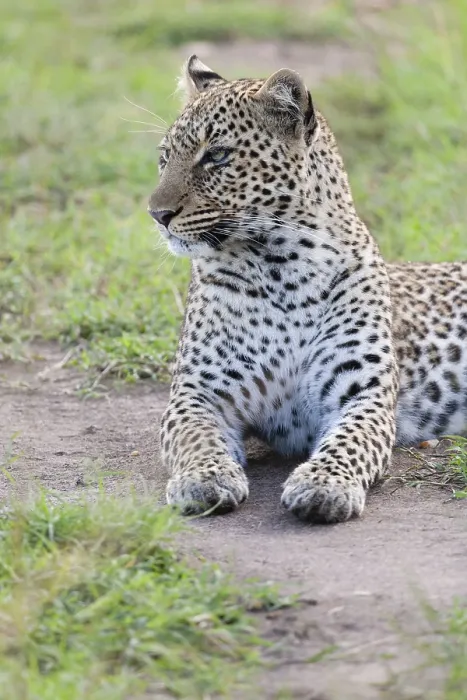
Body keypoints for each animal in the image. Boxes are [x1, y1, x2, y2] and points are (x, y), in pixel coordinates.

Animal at [148, 55, 467, 524]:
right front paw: (204, 479)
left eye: (217, 156)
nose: (157, 214)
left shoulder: (363, 396)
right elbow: (196, 440)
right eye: (165, 157)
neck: (281, 268)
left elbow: (350, 442)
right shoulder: (198, 393)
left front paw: (324, 485)